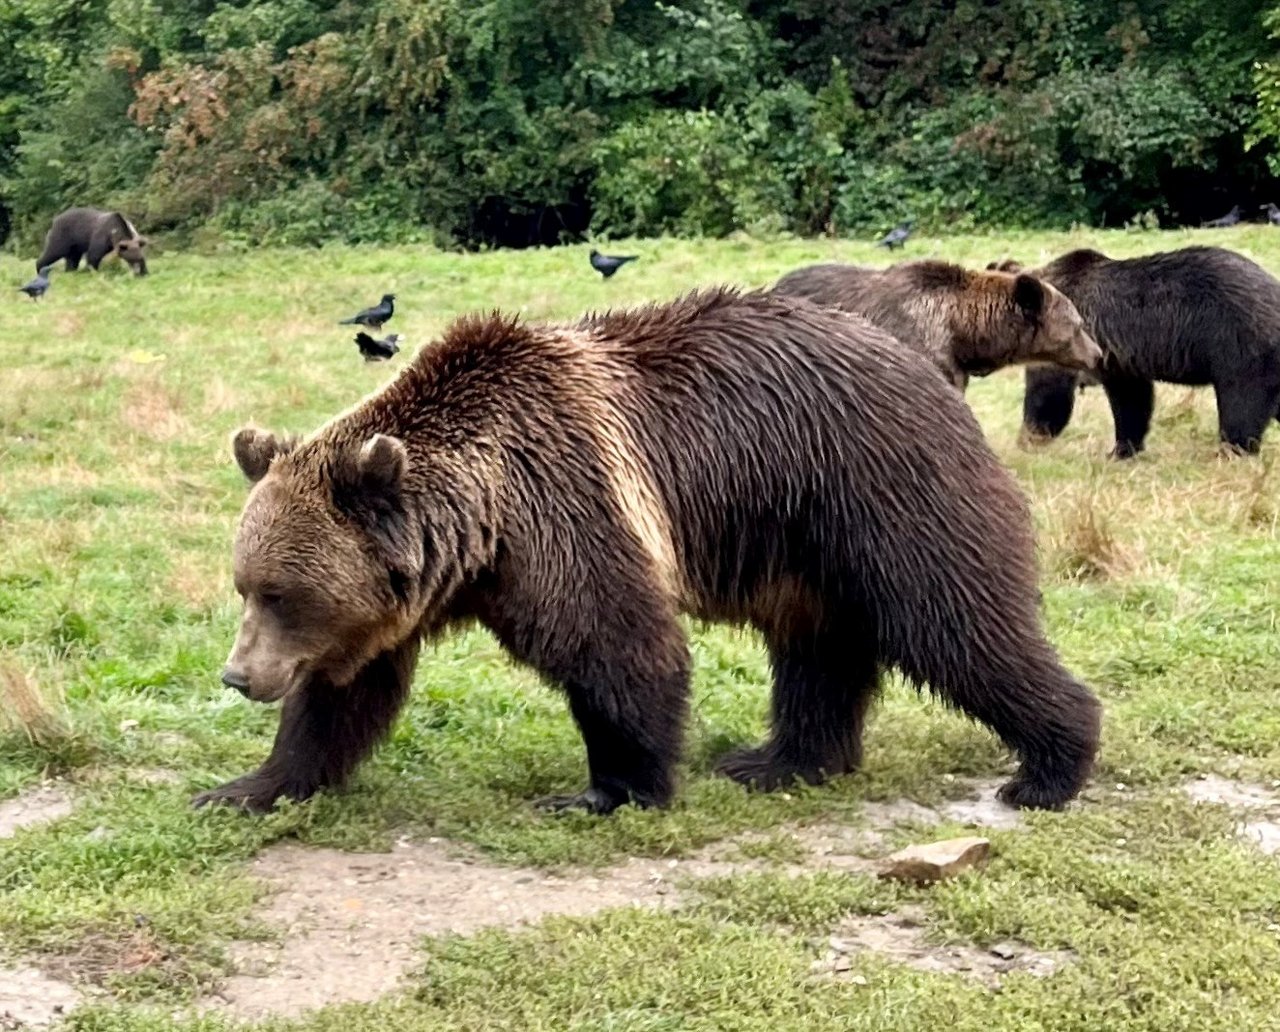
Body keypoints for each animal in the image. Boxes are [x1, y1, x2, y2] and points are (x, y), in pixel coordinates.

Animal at [197, 286, 1100, 819]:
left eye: (278, 592)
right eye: (245, 586)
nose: (238, 676)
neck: (477, 522)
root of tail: (927, 373)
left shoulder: (564, 504)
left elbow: (618, 645)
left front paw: (607, 789)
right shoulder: (405, 596)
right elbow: (344, 695)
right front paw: (247, 786)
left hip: (882, 493)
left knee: (957, 624)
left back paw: (1050, 766)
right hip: (807, 546)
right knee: (819, 652)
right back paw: (782, 759)